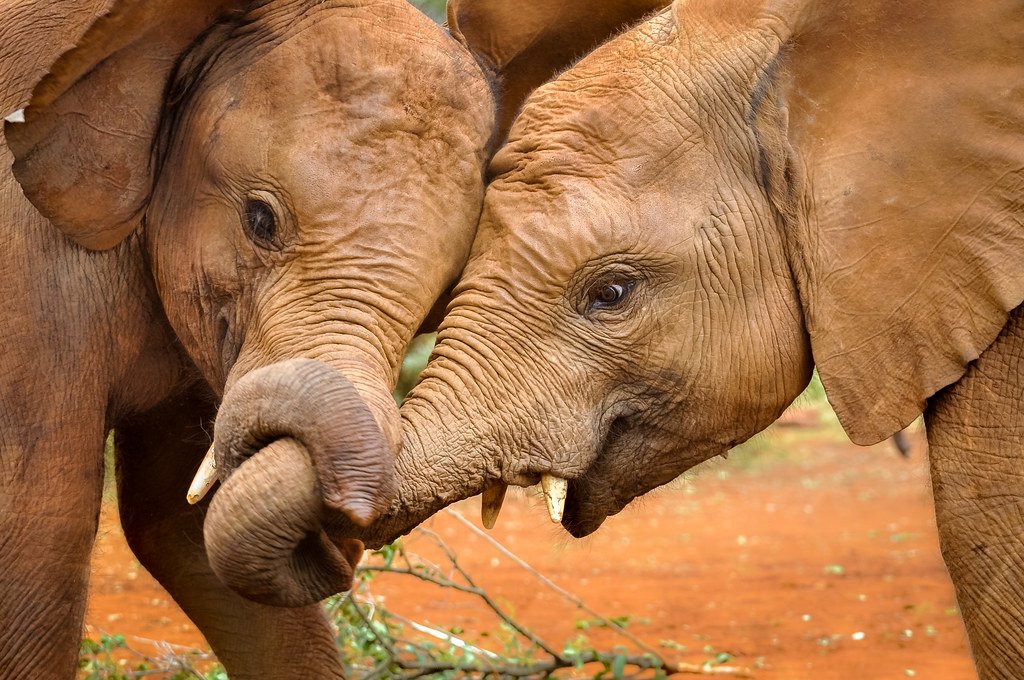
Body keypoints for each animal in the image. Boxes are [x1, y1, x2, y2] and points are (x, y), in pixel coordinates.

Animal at [0, 0, 497, 671]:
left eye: (448, 285)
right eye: (259, 220)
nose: (345, 523)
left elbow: (179, 527)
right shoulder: (25, 267)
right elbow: (36, 538)